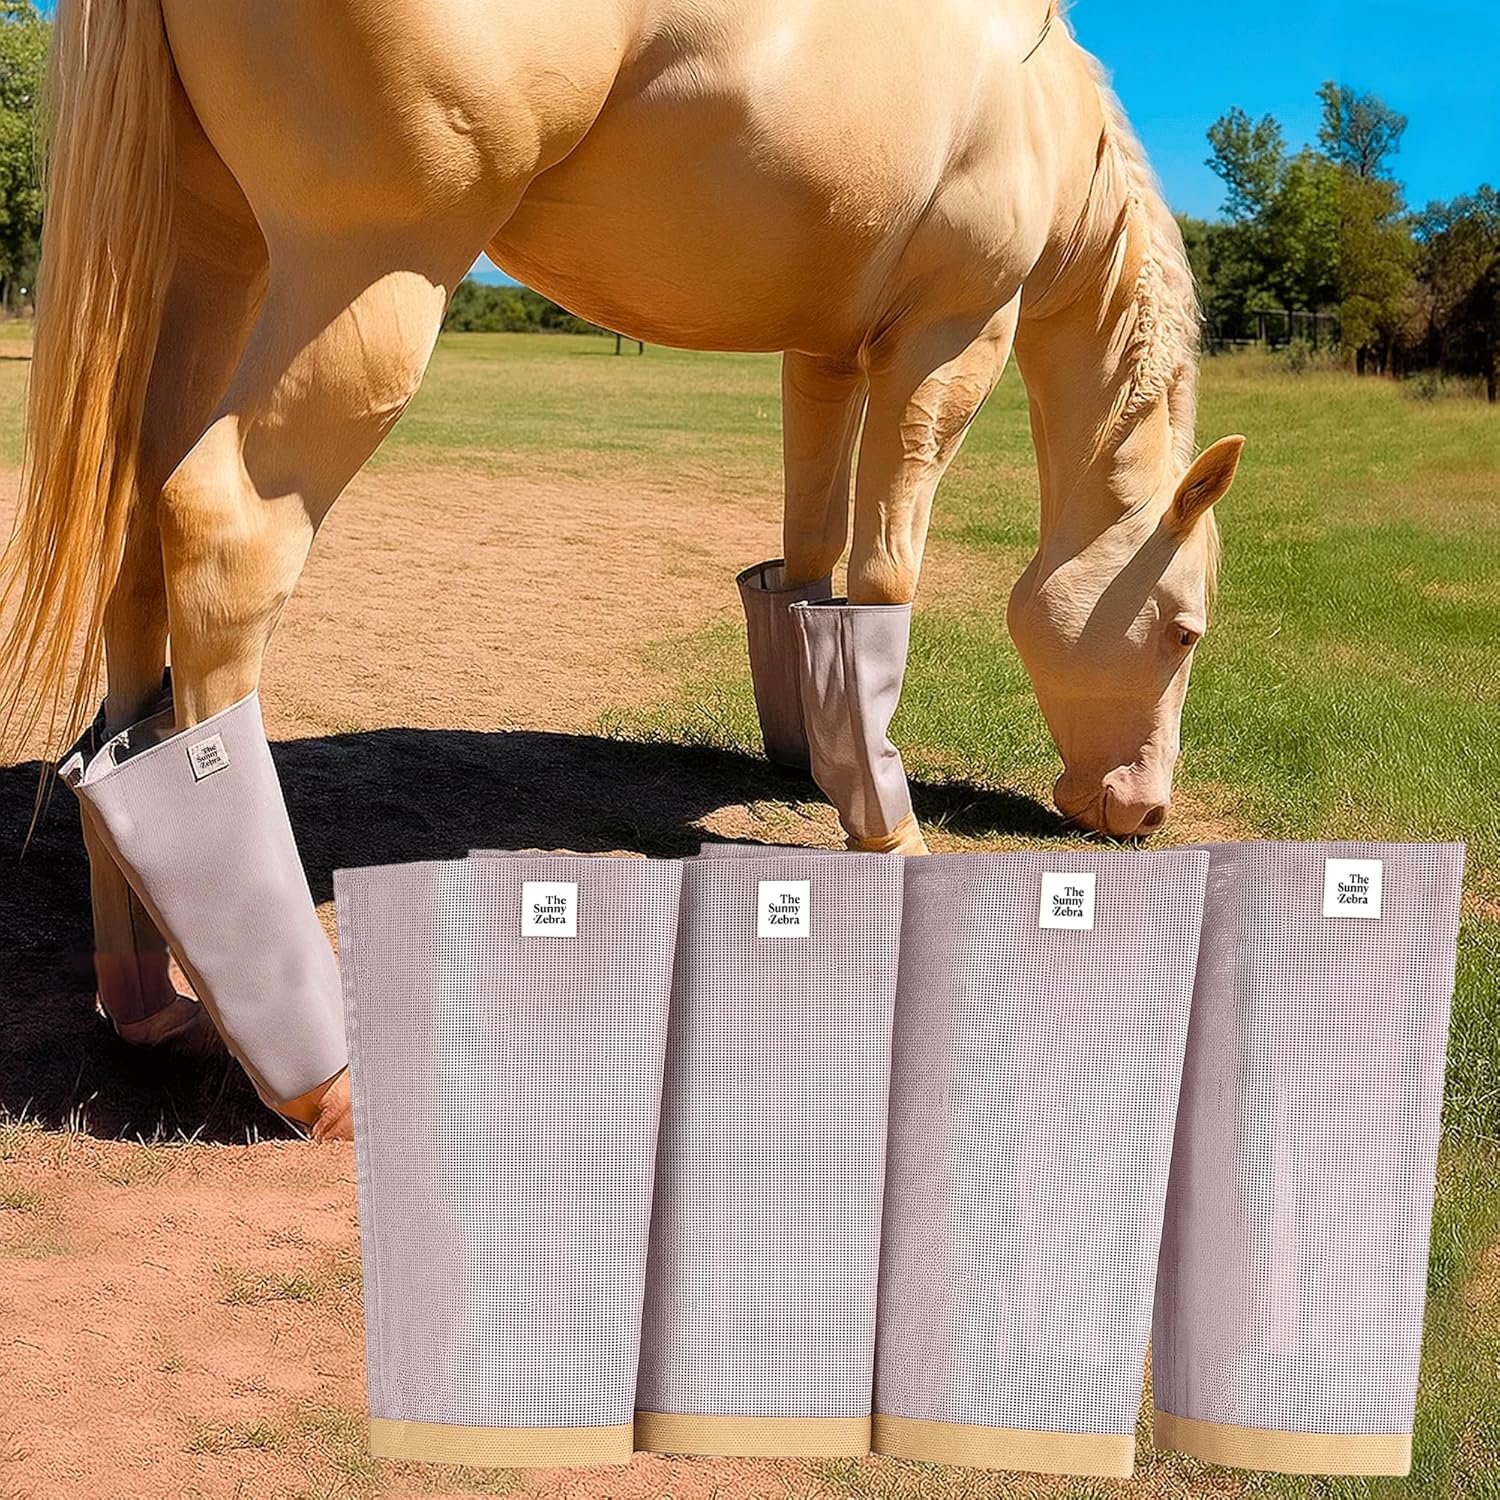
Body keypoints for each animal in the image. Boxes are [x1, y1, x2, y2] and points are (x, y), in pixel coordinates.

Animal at [0, 0, 1243, 1139]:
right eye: (1184, 632)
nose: (1140, 809)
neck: (1039, 109)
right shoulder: (949, 342)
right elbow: (885, 579)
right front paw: (890, 833)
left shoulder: (825, 357)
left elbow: (809, 569)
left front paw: (824, 765)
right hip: (364, 284)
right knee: (223, 540)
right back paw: (314, 1075)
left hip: (214, 258)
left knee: (136, 549)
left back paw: (149, 999)